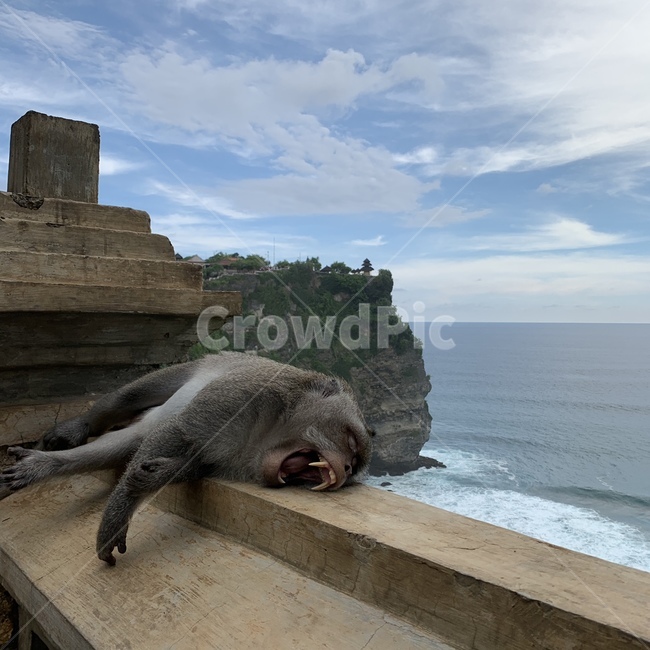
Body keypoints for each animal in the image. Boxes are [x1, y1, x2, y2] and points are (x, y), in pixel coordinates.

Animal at [0, 352, 374, 566]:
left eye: (355, 464)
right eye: (351, 441)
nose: (345, 468)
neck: (267, 433)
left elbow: (196, 460)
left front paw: (158, 474)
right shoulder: (245, 393)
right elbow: (179, 432)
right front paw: (118, 515)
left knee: (130, 440)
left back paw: (40, 466)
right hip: (189, 370)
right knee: (126, 400)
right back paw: (78, 428)